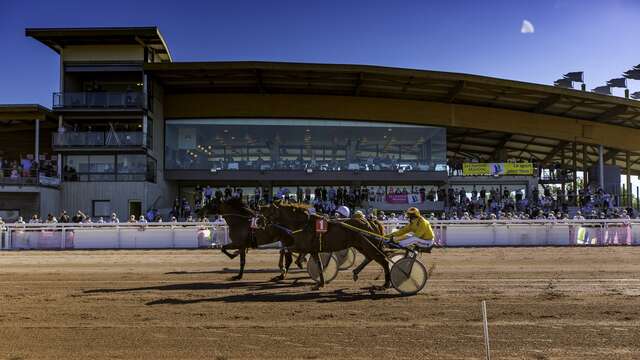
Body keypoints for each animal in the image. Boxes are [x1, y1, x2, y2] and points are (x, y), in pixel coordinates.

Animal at [262, 202, 390, 290]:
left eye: (269, 210)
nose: (259, 221)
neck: (304, 224)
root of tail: (372, 221)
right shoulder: (313, 250)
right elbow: (319, 265)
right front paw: (320, 283)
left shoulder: (302, 246)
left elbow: (283, 250)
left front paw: (284, 267)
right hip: (362, 246)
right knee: (370, 257)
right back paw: (356, 272)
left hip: (368, 245)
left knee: (383, 260)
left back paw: (386, 284)